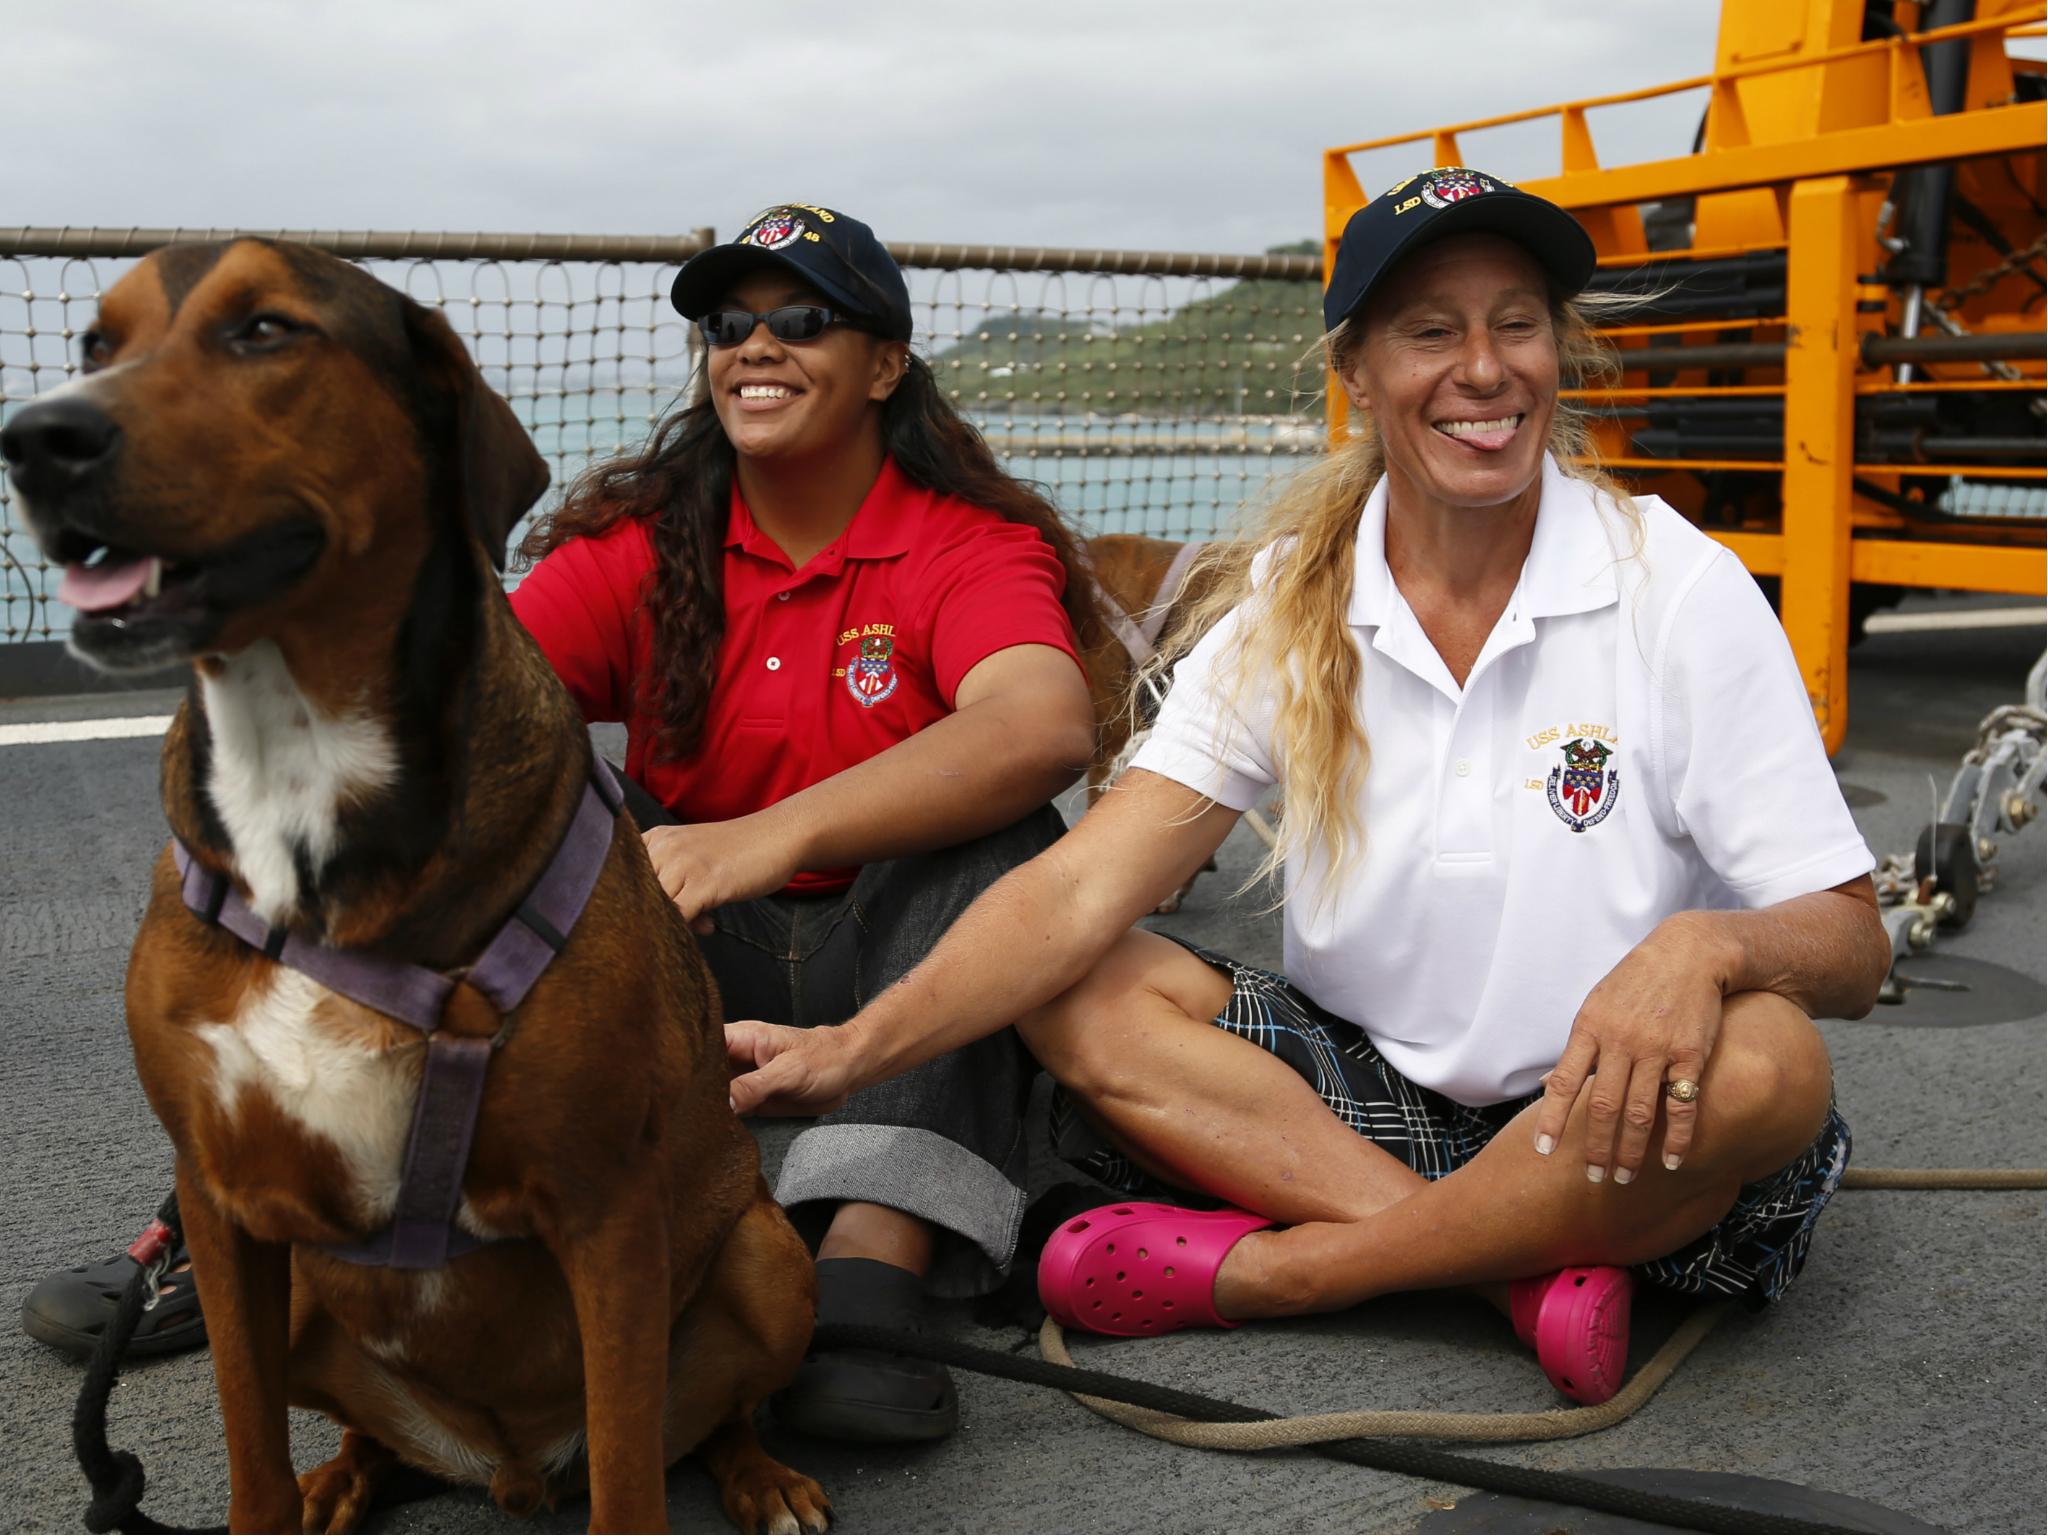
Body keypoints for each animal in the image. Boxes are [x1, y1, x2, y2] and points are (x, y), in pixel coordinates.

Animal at [9, 240, 823, 1536]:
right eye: (95, 342)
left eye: (265, 329)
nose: (36, 438)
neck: (300, 763)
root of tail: (506, 1462)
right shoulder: (220, 1208)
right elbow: (250, 1458)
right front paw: (284, 1491)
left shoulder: (608, 1213)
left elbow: (634, 1483)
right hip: (301, 1293)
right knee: (363, 1434)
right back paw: (346, 1474)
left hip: (762, 1254)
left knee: (711, 1417)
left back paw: (762, 1478)